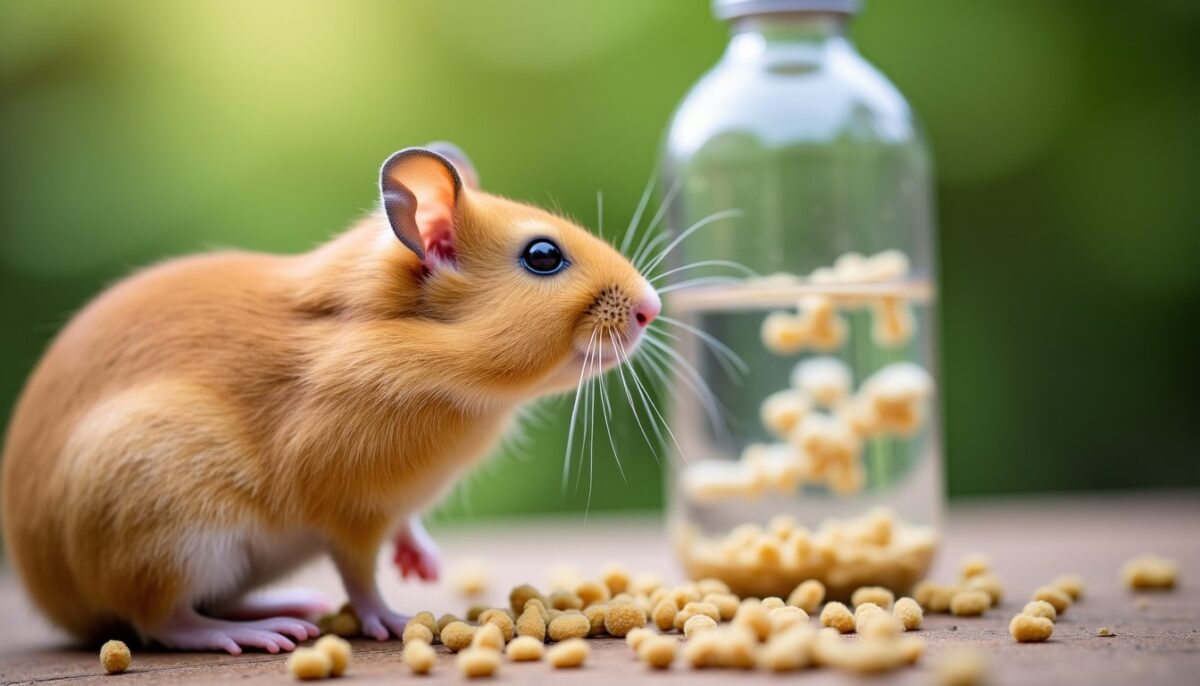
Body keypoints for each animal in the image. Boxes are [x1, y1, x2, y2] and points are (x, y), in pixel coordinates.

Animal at [0, 143, 660, 654]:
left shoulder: (389, 506)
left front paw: (425, 564)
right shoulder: (349, 509)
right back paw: (262, 631)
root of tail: (53, 597)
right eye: (543, 256)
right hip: (169, 532)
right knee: (162, 618)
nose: (652, 308)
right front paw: (394, 620)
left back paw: (293, 606)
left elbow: (405, 530)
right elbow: (360, 577)